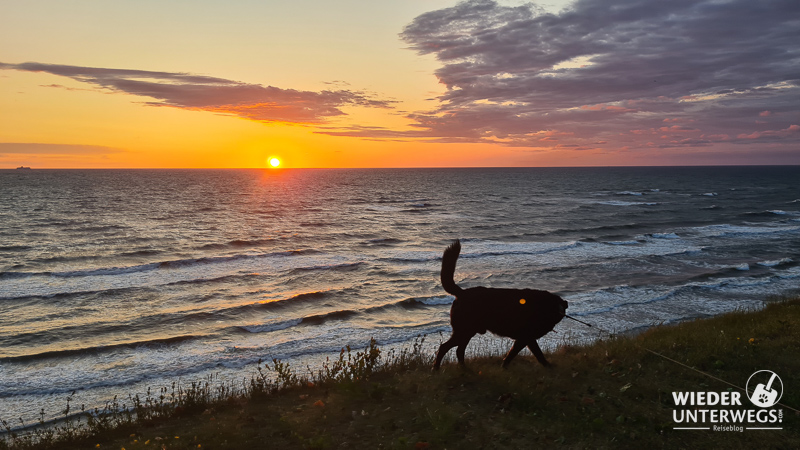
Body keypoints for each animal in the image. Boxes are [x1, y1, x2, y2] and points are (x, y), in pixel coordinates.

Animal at [432, 241, 568, 370]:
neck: (545, 305)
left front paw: (504, 367)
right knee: (445, 347)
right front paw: (549, 367)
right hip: (464, 330)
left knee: (459, 350)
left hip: (467, 332)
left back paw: (464, 369)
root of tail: (461, 292)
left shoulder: (523, 339)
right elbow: (537, 354)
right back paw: (436, 369)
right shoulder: (526, 338)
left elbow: (513, 354)